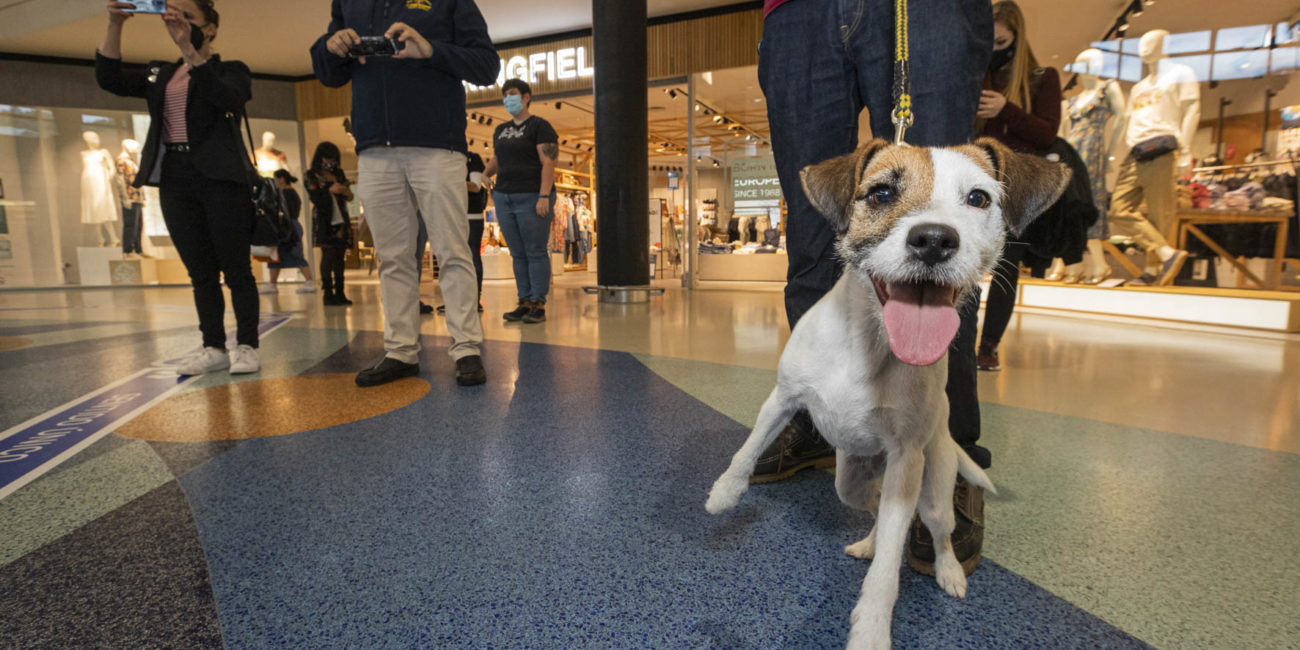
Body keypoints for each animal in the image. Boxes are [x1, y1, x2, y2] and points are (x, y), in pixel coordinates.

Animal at [712, 138, 1066, 650]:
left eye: (979, 198)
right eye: (880, 194)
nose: (934, 240)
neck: (870, 341)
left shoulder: (906, 457)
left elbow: (887, 571)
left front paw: (872, 627)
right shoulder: (783, 399)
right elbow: (747, 447)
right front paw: (723, 493)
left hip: (933, 489)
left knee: (935, 531)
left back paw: (949, 571)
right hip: (853, 482)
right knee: (878, 507)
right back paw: (870, 539)